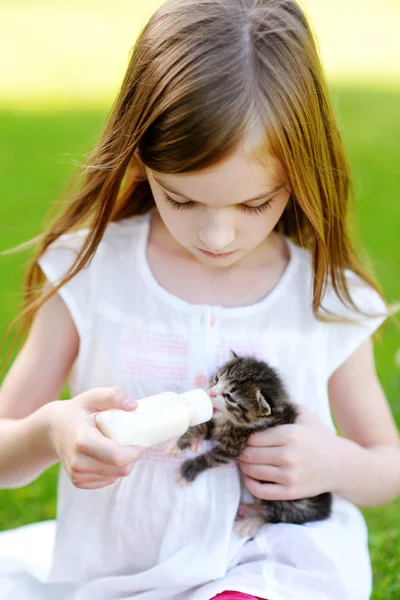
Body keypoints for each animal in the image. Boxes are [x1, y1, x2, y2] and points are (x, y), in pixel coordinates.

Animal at [175, 354, 332, 532]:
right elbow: (204, 425)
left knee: (275, 517)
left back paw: (254, 520)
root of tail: (323, 510)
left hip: (280, 499)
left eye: (230, 397)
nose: (211, 392)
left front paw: (188, 470)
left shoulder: (234, 447)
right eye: (216, 378)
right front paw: (180, 441)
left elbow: (211, 457)